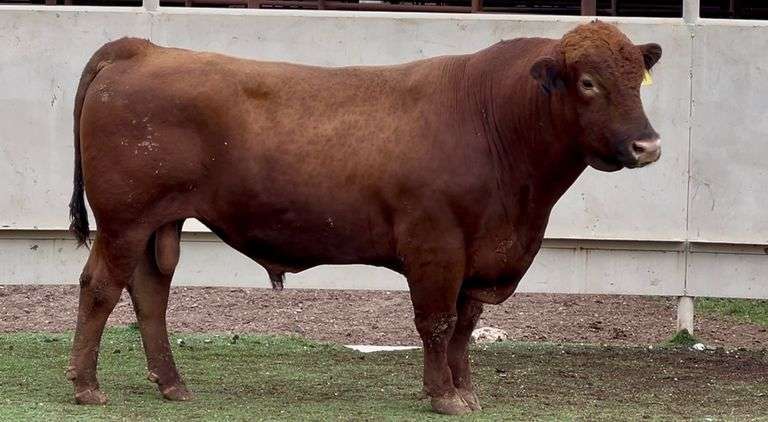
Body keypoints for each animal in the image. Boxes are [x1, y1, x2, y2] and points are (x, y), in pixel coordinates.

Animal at [66, 21, 662, 415]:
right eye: (588, 82)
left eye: (637, 80)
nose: (648, 145)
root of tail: (142, 49)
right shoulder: (436, 245)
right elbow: (437, 322)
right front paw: (443, 395)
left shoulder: (480, 254)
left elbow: (465, 325)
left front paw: (465, 390)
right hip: (124, 219)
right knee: (99, 287)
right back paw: (86, 385)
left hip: (159, 223)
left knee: (150, 292)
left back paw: (172, 384)